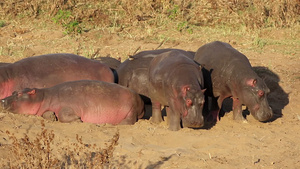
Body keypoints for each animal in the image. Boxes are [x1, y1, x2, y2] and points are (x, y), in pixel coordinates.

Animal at [1, 80, 144, 125]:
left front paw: (78, 120)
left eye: (19, 94)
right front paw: (51, 116)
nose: (2, 100)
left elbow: (64, 115)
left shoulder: (69, 106)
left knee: (130, 120)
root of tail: (141, 100)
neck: (43, 97)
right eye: (14, 91)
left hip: (131, 108)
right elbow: (47, 114)